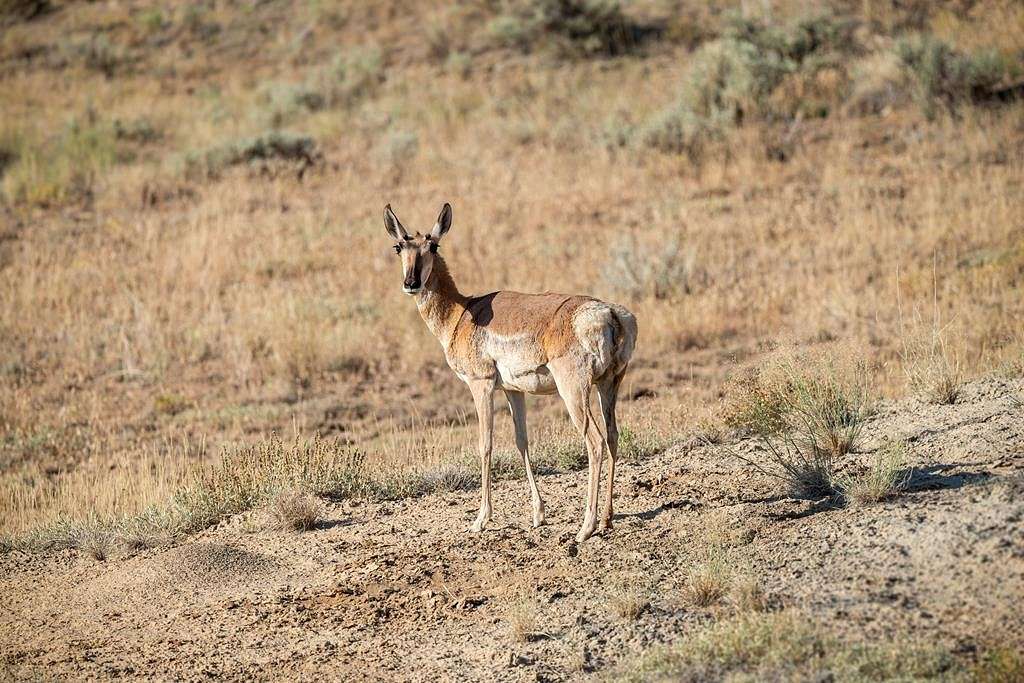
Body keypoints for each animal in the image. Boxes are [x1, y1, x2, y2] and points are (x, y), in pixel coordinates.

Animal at [385, 202, 634, 544]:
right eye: (399, 247)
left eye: (433, 246)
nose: (411, 283)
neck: (462, 314)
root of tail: (608, 312)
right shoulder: (513, 391)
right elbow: (521, 441)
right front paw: (538, 514)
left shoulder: (481, 385)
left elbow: (485, 444)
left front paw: (480, 519)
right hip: (608, 386)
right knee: (612, 437)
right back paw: (608, 519)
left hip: (574, 392)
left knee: (594, 443)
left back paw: (585, 528)